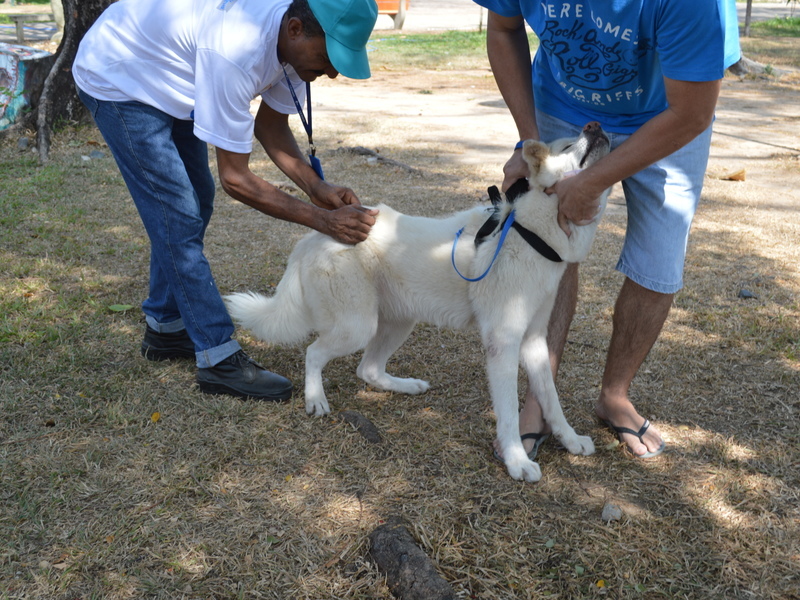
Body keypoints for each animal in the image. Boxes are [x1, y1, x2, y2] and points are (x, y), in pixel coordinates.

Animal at [225, 123, 612, 482]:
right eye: (567, 146)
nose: (594, 125)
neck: (530, 233)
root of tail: (314, 235)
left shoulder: (534, 341)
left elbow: (551, 399)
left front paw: (571, 441)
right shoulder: (503, 344)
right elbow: (508, 413)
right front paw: (517, 461)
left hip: (398, 323)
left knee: (367, 369)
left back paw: (405, 386)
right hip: (357, 327)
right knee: (314, 353)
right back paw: (315, 399)